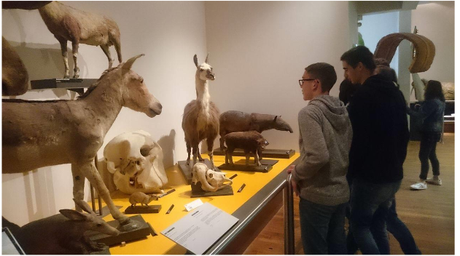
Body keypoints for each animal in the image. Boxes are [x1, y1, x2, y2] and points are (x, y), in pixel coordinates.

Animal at [2, 54, 162, 228]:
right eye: (140, 80)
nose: (159, 106)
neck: (90, 112)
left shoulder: (75, 161)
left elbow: (77, 195)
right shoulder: (85, 160)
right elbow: (102, 189)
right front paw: (122, 218)